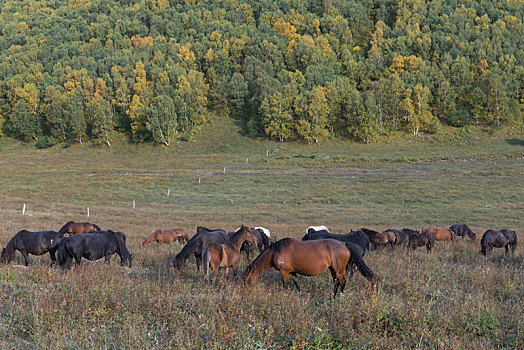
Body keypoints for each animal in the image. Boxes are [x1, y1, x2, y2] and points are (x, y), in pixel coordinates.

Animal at [244, 238, 378, 298]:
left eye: (246, 279)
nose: (245, 292)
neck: (275, 252)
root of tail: (344, 244)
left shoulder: (284, 272)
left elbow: (285, 285)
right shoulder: (292, 272)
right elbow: (297, 284)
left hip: (338, 270)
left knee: (342, 281)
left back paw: (339, 297)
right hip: (333, 270)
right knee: (336, 282)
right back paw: (332, 297)